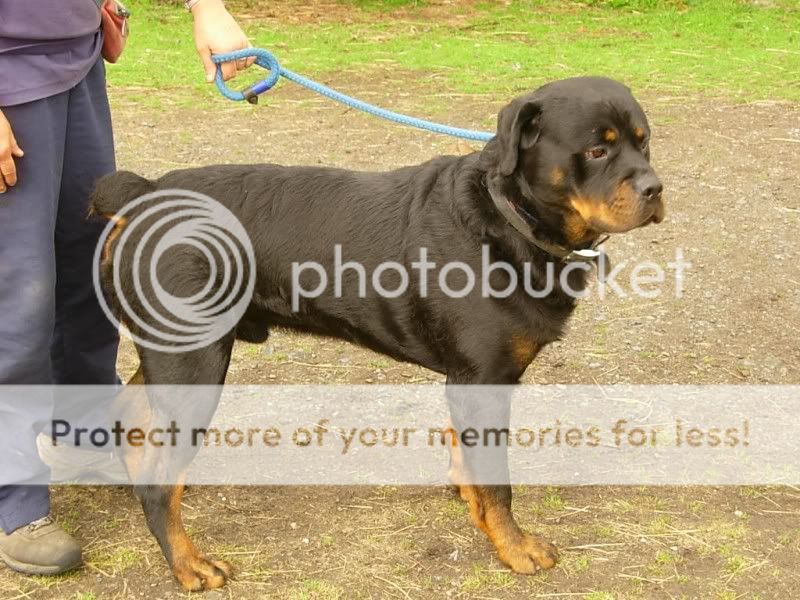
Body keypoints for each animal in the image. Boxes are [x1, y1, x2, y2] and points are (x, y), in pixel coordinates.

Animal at [90, 76, 664, 592]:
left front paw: (468, 497)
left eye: (644, 141)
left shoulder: (468, 379)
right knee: (161, 480)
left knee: (132, 418)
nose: (655, 188)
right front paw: (514, 547)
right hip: (196, 361)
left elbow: (466, 454)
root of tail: (146, 195)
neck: (506, 221)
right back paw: (188, 564)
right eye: (596, 150)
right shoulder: (484, 380)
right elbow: (498, 483)